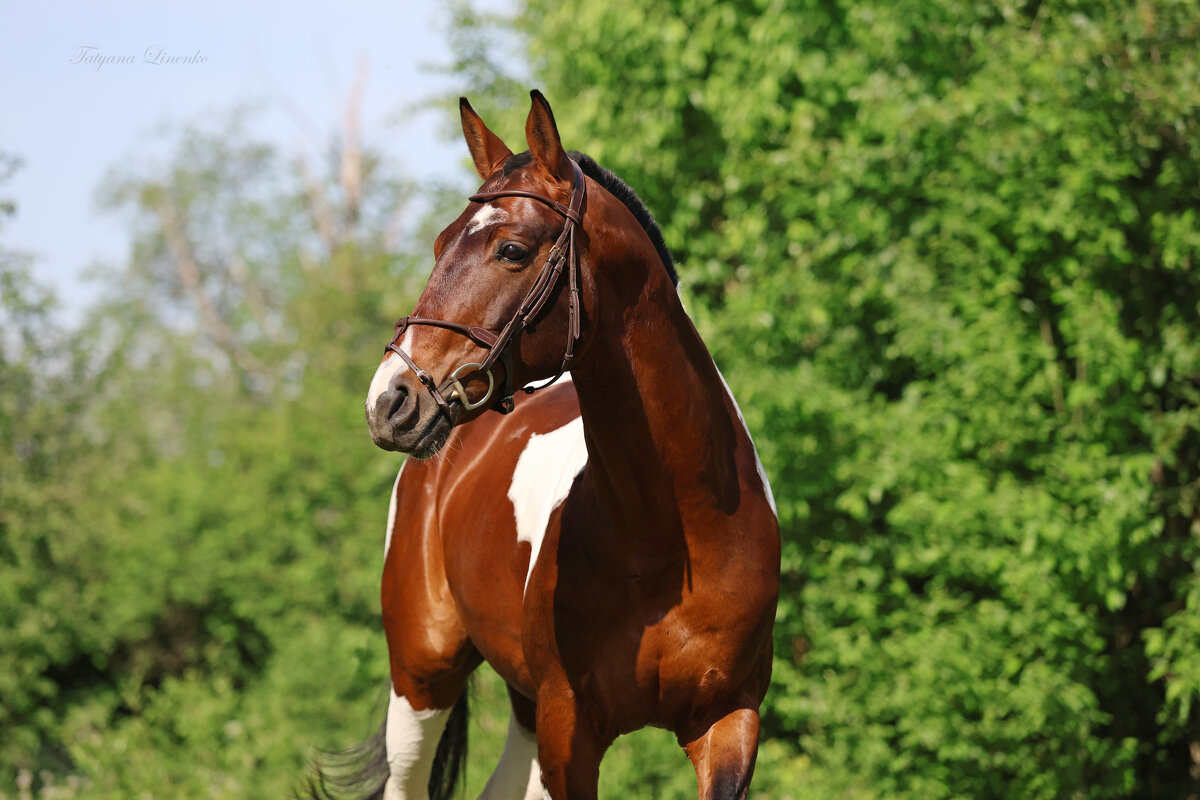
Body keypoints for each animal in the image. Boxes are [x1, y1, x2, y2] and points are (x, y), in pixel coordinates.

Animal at [319, 92, 782, 800]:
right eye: (439, 243)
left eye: (512, 250)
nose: (390, 400)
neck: (673, 538)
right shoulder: (570, 731)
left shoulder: (729, 721)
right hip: (422, 679)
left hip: (521, 704)